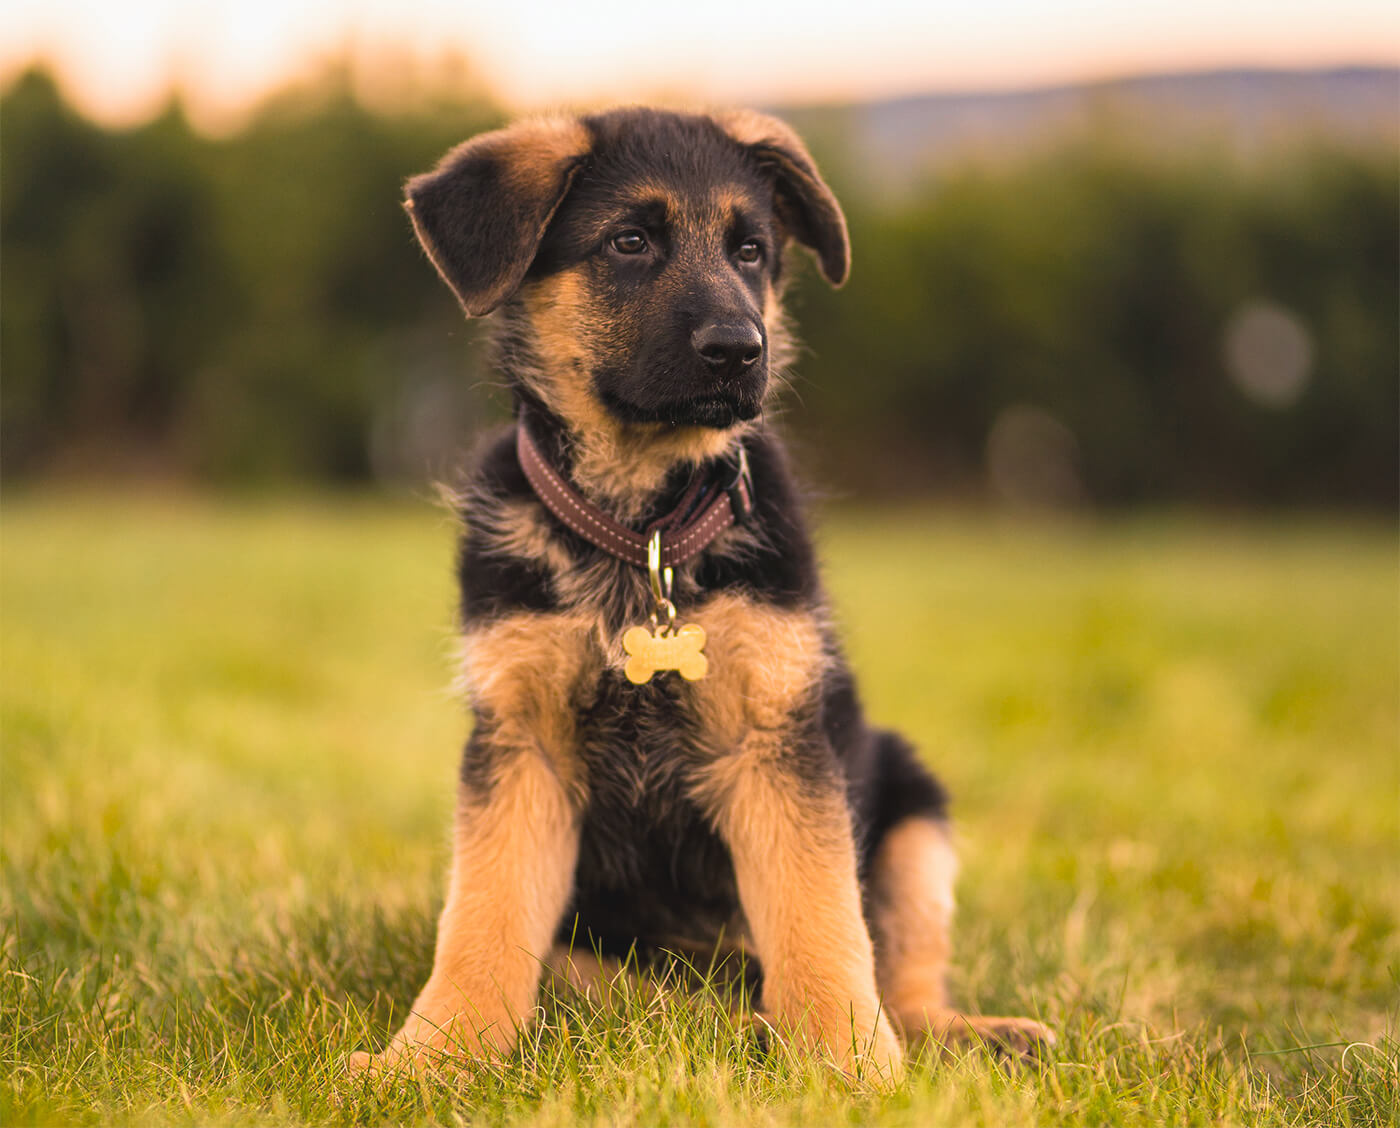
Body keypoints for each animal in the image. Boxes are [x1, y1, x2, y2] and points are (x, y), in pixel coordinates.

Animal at [358, 108, 1052, 1086]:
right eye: (630, 242)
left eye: (751, 250)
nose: (739, 351)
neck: (641, 525)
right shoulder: (521, 747)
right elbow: (482, 920)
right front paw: (434, 1058)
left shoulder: (774, 743)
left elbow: (820, 918)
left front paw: (851, 1067)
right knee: (634, 988)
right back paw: (732, 1020)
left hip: (915, 811)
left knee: (903, 978)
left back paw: (960, 1033)